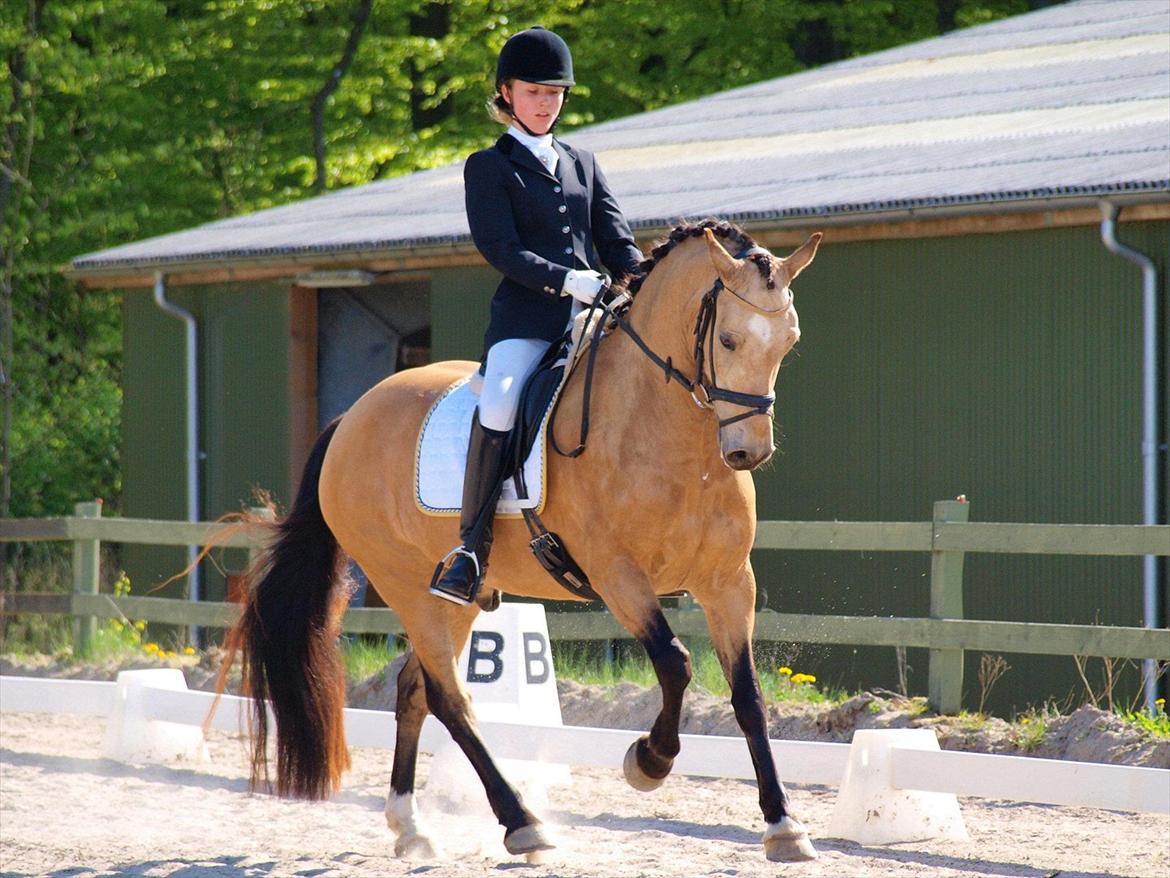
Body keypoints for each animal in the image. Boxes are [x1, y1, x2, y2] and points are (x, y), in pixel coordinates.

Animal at [219, 220, 823, 866]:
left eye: (789, 342)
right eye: (729, 340)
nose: (747, 452)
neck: (669, 436)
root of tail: (350, 417)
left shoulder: (729, 583)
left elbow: (749, 696)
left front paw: (785, 825)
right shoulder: (618, 575)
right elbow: (675, 663)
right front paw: (649, 761)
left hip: (448, 597)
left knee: (414, 691)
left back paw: (411, 827)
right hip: (404, 584)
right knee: (451, 701)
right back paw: (522, 823)